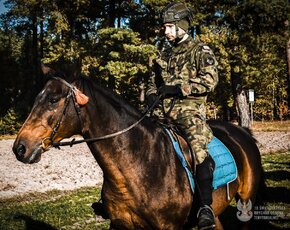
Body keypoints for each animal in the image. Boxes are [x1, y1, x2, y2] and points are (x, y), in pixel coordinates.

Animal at [12, 70, 264, 230]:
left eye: (53, 100)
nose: (20, 147)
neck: (141, 165)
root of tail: (240, 131)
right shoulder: (120, 226)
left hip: (246, 203)